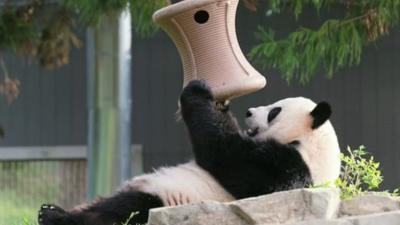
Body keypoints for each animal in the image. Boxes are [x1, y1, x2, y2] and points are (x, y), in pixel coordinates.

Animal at [37, 79, 340, 225]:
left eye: (275, 111)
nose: (249, 112)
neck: (311, 146)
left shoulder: (286, 168)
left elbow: (224, 153)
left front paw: (198, 90)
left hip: (165, 201)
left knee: (120, 212)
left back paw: (54, 217)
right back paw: (51, 210)